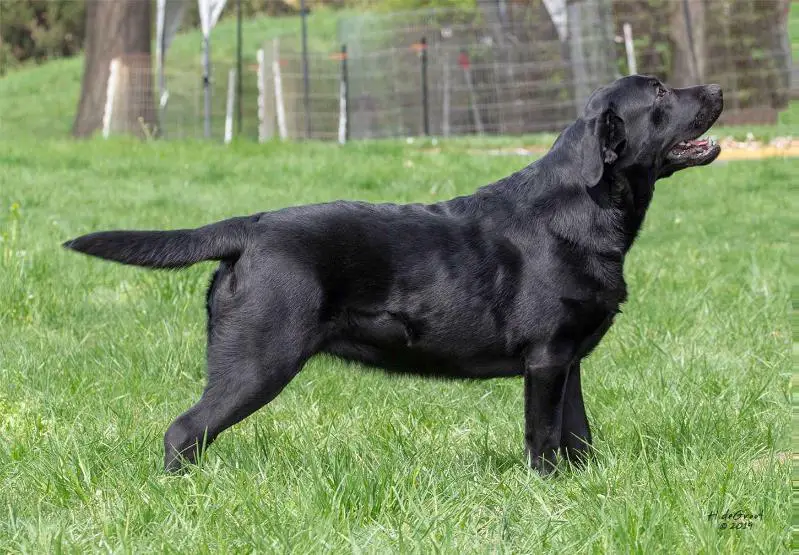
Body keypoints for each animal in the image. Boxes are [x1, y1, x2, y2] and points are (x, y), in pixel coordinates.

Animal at [65, 76, 720, 476]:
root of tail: (247, 228)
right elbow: (543, 437)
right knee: (184, 431)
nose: (715, 87)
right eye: (660, 92)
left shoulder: (569, 359)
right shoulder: (546, 357)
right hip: (257, 361)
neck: (583, 207)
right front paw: (545, 494)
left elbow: (577, 436)